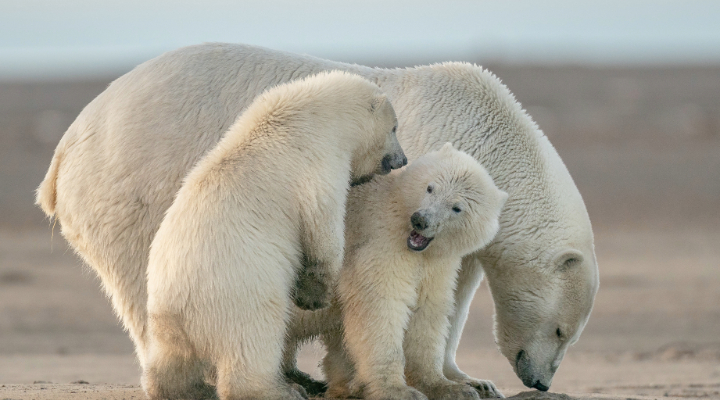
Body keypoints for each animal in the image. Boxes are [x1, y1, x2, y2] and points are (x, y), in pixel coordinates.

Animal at [142, 70, 406, 400]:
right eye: (394, 127)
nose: (402, 160)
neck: (310, 115)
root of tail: (180, 306)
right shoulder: (318, 164)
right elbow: (323, 227)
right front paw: (314, 295)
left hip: (164, 318)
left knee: (169, 360)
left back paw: (184, 389)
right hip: (240, 293)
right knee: (255, 338)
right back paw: (281, 389)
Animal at [318, 143, 507, 400]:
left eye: (457, 208)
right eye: (430, 187)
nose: (420, 220)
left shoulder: (435, 266)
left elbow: (426, 312)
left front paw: (448, 387)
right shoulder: (381, 245)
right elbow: (380, 306)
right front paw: (396, 390)